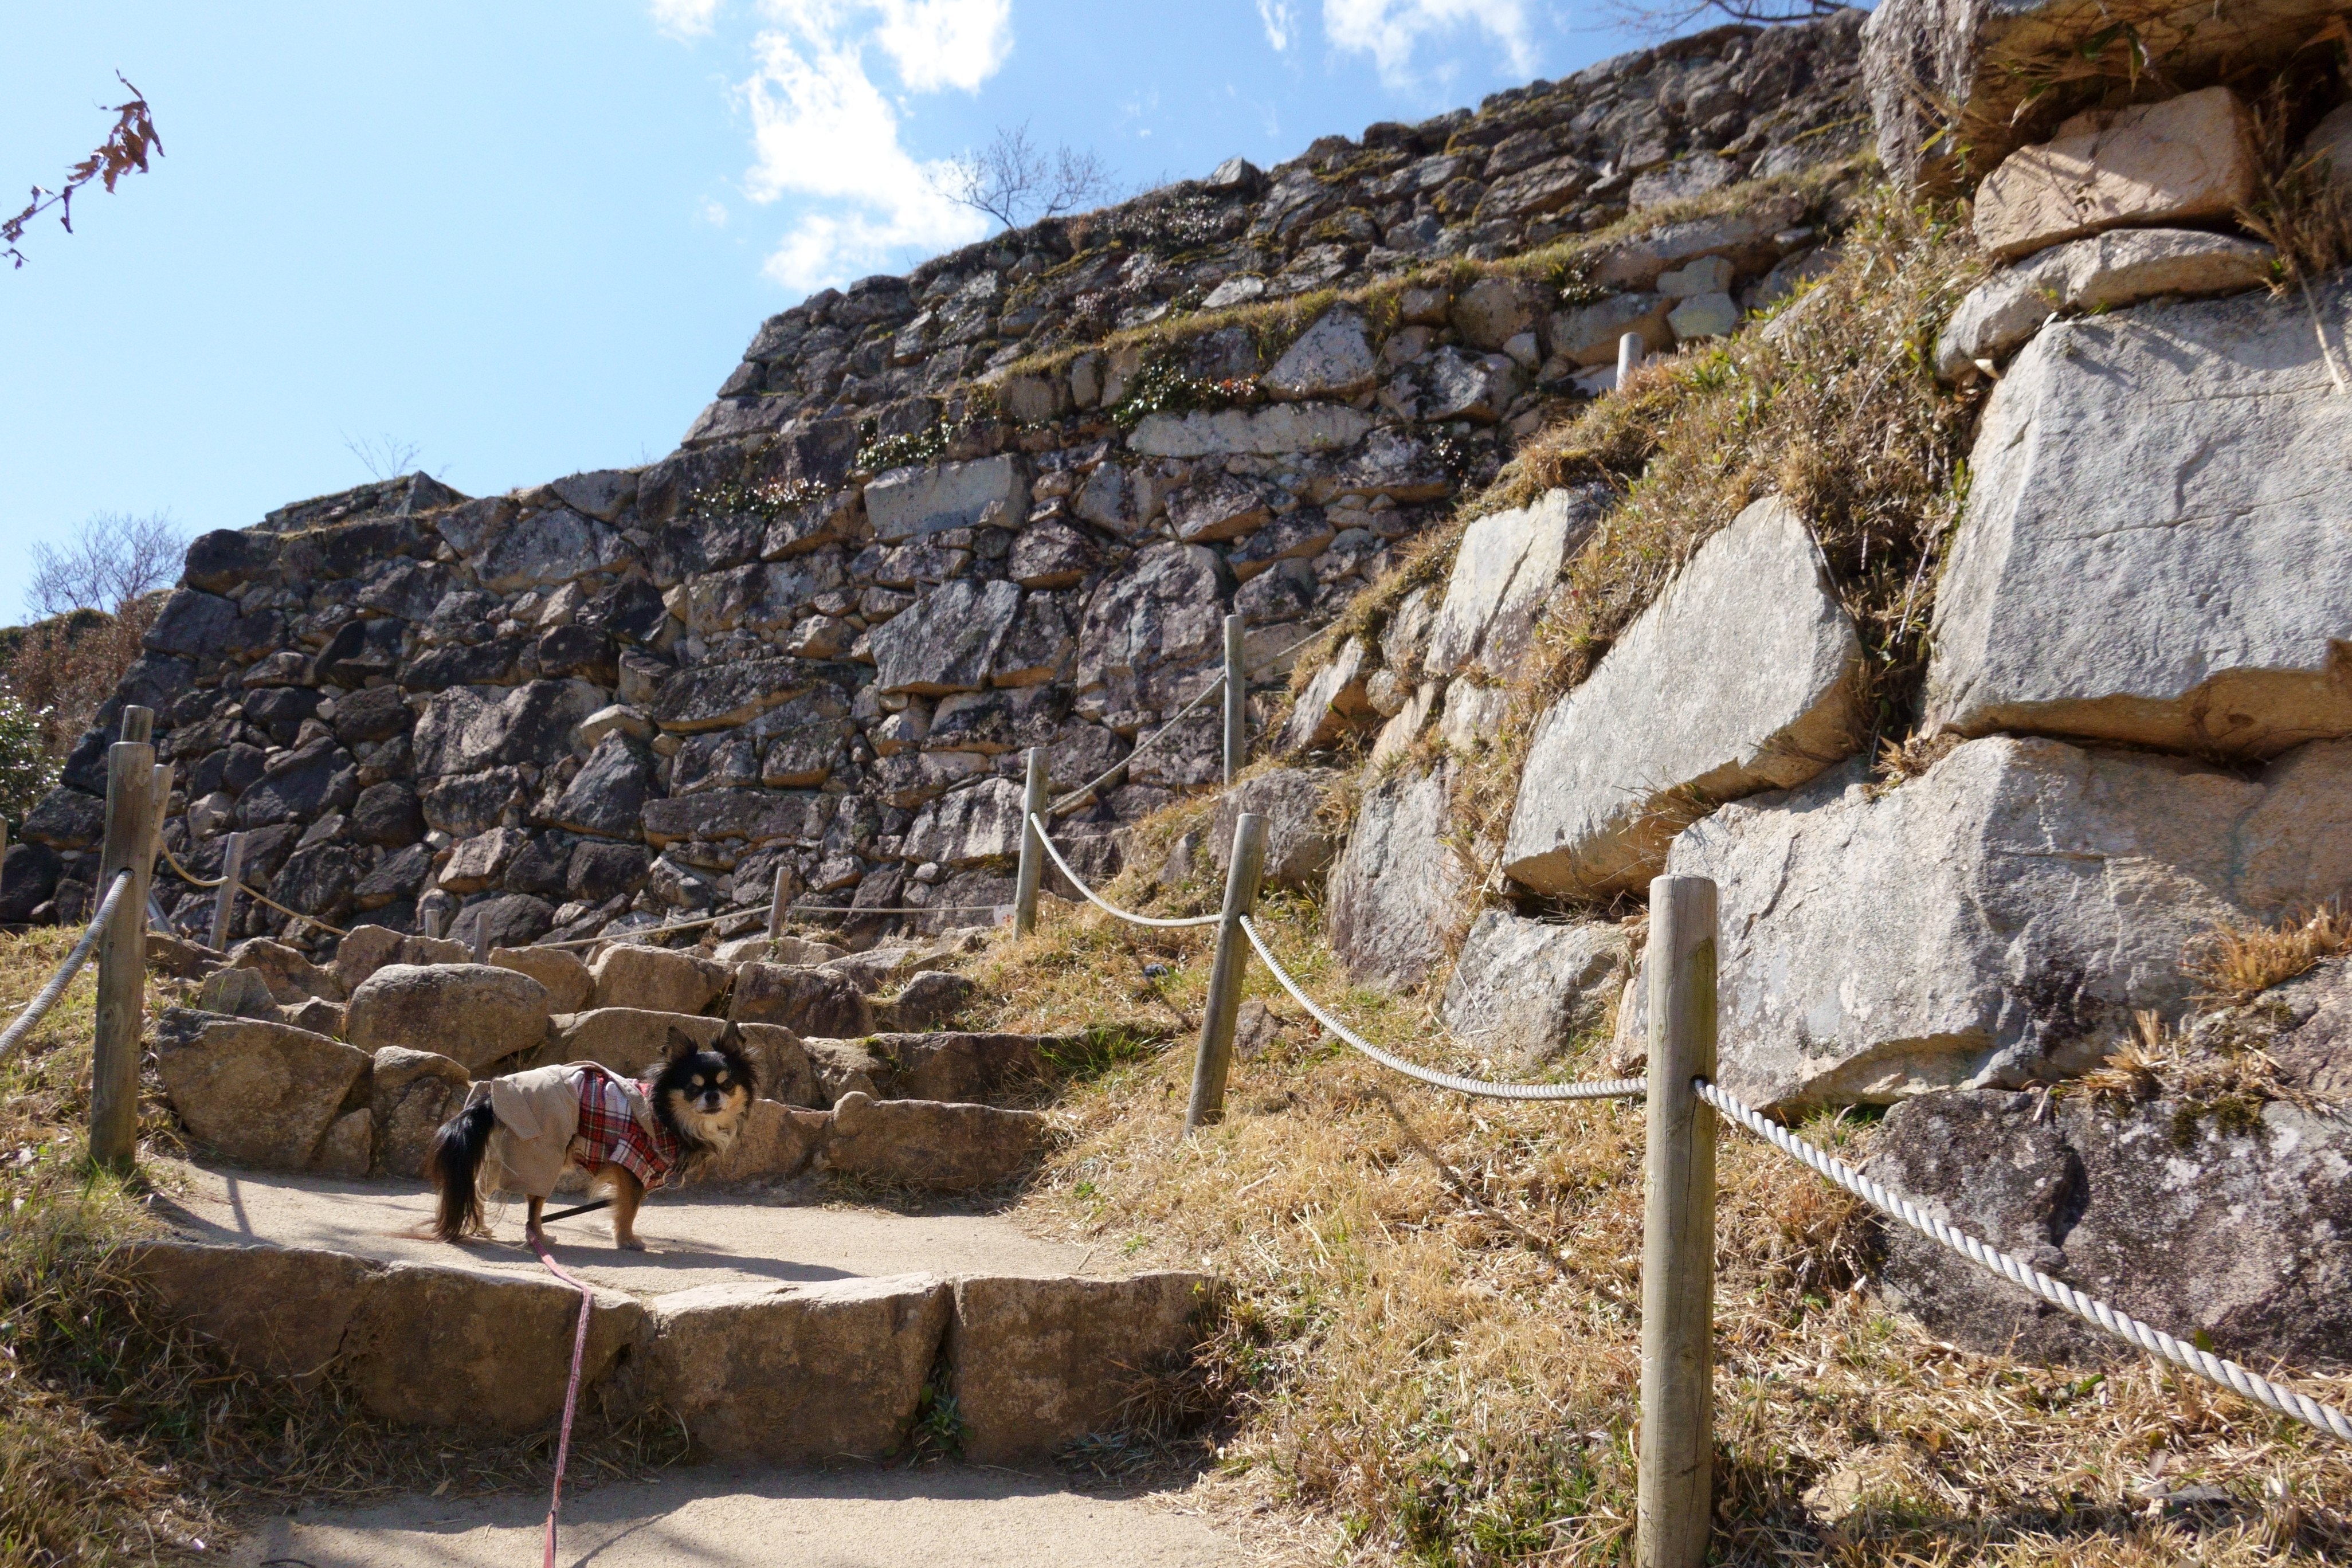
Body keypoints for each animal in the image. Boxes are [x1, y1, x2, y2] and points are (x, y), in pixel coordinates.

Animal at [425, 1029, 752, 1251]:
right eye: (692, 1088)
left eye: (728, 1084)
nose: (713, 1096)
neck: (668, 1116)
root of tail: (492, 1098)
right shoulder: (632, 1162)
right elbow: (629, 1209)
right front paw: (627, 1240)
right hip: (542, 1155)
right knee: (530, 1207)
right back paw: (531, 1236)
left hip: (511, 1157)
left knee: (482, 1189)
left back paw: (490, 1229)